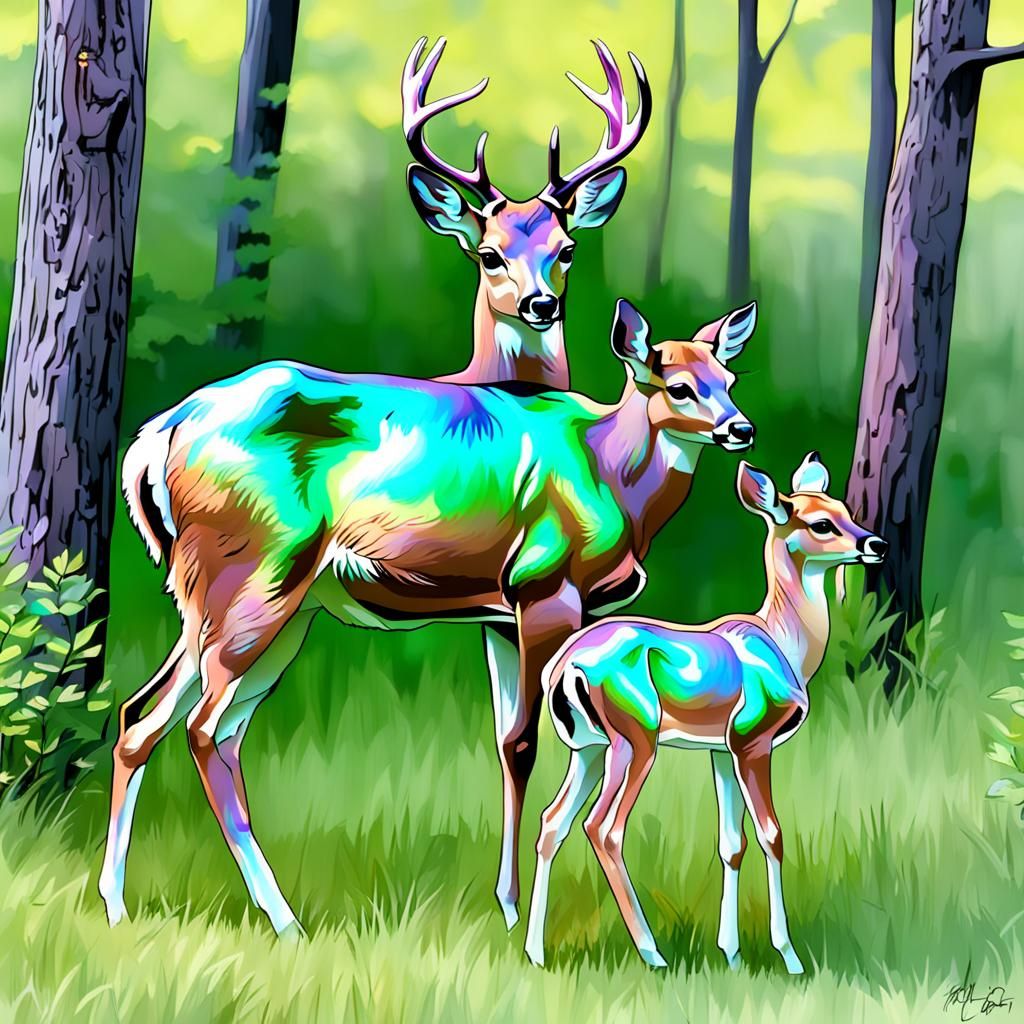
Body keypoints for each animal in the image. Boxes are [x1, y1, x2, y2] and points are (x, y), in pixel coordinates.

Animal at [98, 297, 758, 939]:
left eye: (727, 378)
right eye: (679, 386)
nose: (742, 429)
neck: (612, 475)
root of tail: (158, 434)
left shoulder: (501, 613)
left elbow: (507, 742)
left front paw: (507, 907)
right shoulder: (546, 588)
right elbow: (532, 741)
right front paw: (521, 916)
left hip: (243, 602)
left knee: (149, 717)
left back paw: (122, 904)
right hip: (255, 576)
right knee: (202, 727)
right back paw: (282, 918)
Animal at [523, 453, 888, 973]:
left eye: (845, 509)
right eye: (820, 523)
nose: (875, 544)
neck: (785, 642)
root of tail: (564, 665)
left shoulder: (720, 751)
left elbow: (731, 843)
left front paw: (731, 954)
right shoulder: (753, 744)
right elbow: (772, 834)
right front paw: (790, 957)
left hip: (589, 750)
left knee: (552, 822)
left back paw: (536, 952)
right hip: (635, 744)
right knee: (604, 828)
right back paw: (653, 953)